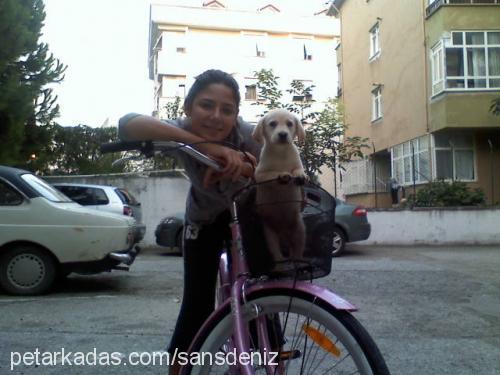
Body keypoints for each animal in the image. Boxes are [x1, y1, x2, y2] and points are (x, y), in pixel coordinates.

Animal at [252, 107, 306, 262]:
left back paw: (298, 260)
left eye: (289, 124)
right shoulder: (259, 174)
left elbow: (298, 169)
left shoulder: (298, 164)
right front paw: (282, 174)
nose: (283, 134)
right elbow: (272, 173)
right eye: (272, 124)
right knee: (277, 253)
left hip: (299, 228)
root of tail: (284, 235)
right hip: (269, 234)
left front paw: (300, 175)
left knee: (297, 250)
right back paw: (281, 261)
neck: (281, 153)